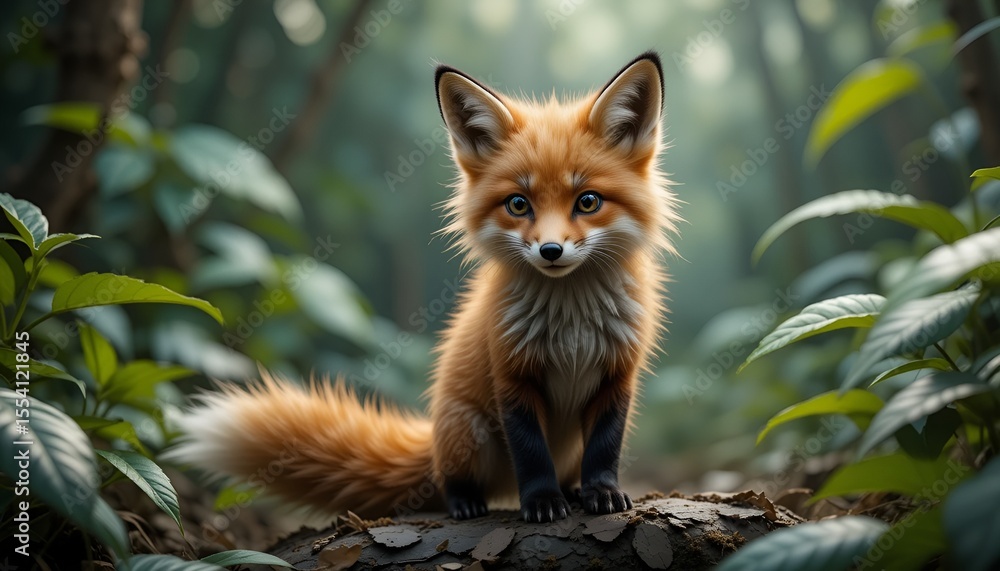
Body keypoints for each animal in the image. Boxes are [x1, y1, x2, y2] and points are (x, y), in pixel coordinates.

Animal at [170, 51, 678, 523]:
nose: (550, 251)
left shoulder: (618, 375)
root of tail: (432, 438)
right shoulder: (511, 376)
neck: (571, 322)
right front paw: (541, 502)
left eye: (587, 201)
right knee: (451, 483)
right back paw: (468, 503)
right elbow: (532, 455)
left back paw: (571, 491)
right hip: (468, 431)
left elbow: (605, 448)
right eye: (518, 204)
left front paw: (601, 493)